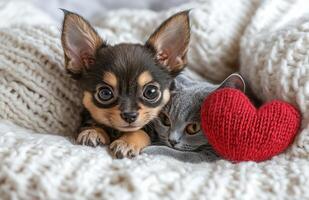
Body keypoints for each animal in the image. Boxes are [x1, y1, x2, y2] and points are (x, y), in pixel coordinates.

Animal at [60, 9, 190, 158]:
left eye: (151, 92)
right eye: (105, 93)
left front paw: (127, 142)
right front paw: (93, 131)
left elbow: (139, 131)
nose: (129, 116)